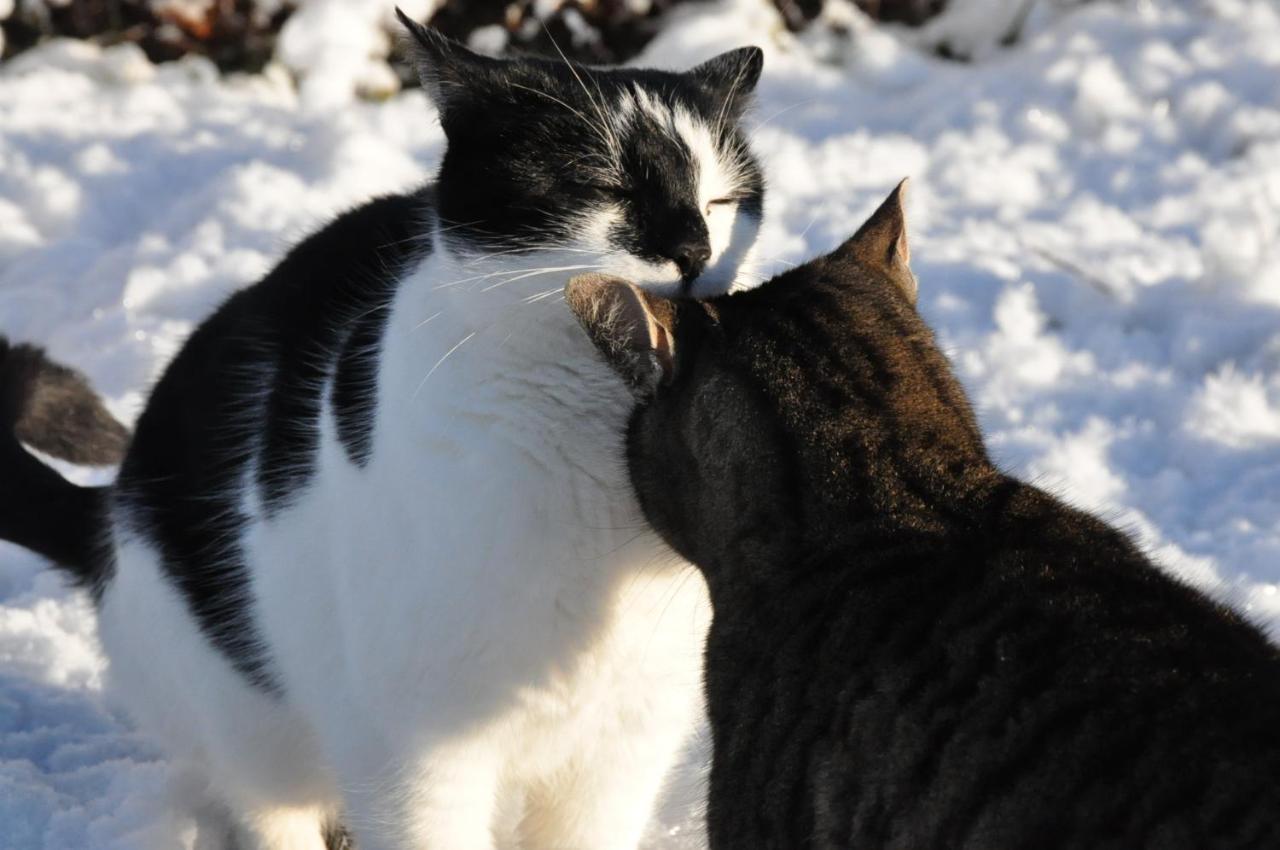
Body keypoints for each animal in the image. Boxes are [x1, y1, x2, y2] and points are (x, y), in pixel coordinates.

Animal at [0, 13, 757, 850]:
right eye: (604, 185)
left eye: (721, 199)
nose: (693, 249)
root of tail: (110, 513)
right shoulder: (416, 752)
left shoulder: (621, 746)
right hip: (245, 718)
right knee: (270, 805)